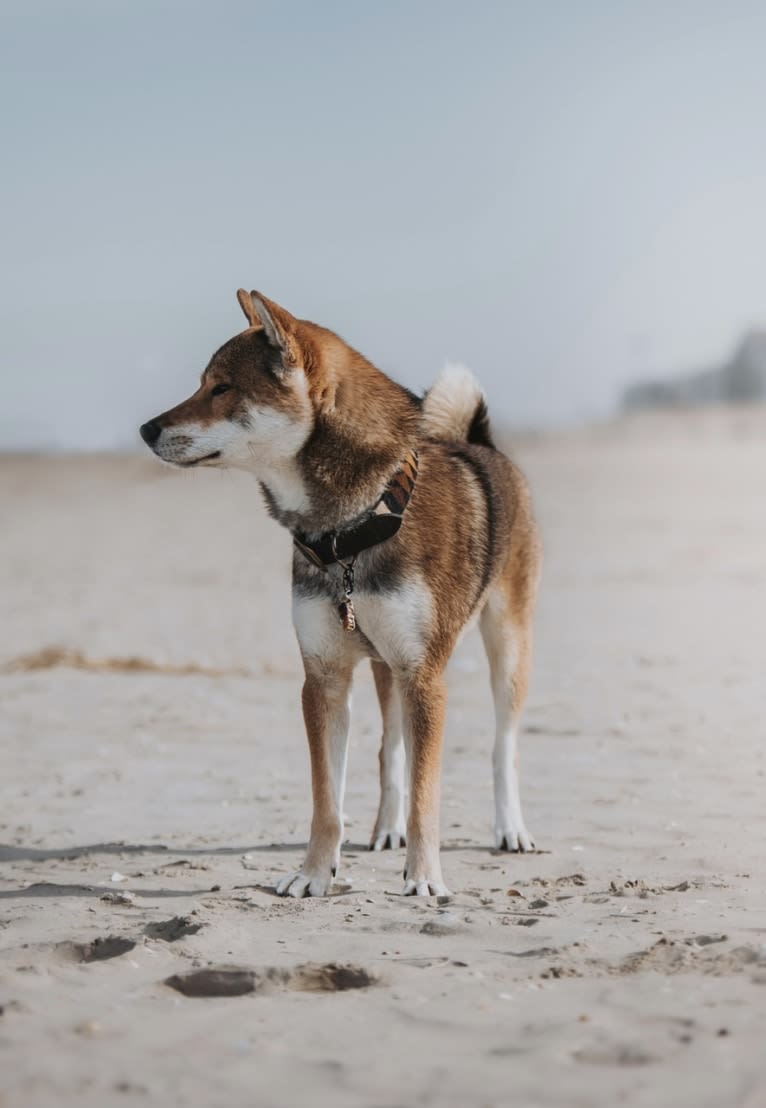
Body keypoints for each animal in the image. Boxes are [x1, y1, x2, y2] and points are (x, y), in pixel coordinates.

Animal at [140, 290, 543, 895]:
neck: (354, 528)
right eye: (203, 385)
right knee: (391, 751)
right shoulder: (325, 679)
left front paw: (425, 878)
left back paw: (510, 828)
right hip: (387, 670)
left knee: (505, 747)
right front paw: (314, 875)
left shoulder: (424, 676)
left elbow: (428, 796)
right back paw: (387, 829)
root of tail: (480, 442)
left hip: (506, 647)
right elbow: (327, 801)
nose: (145, 429)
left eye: (222, 388)